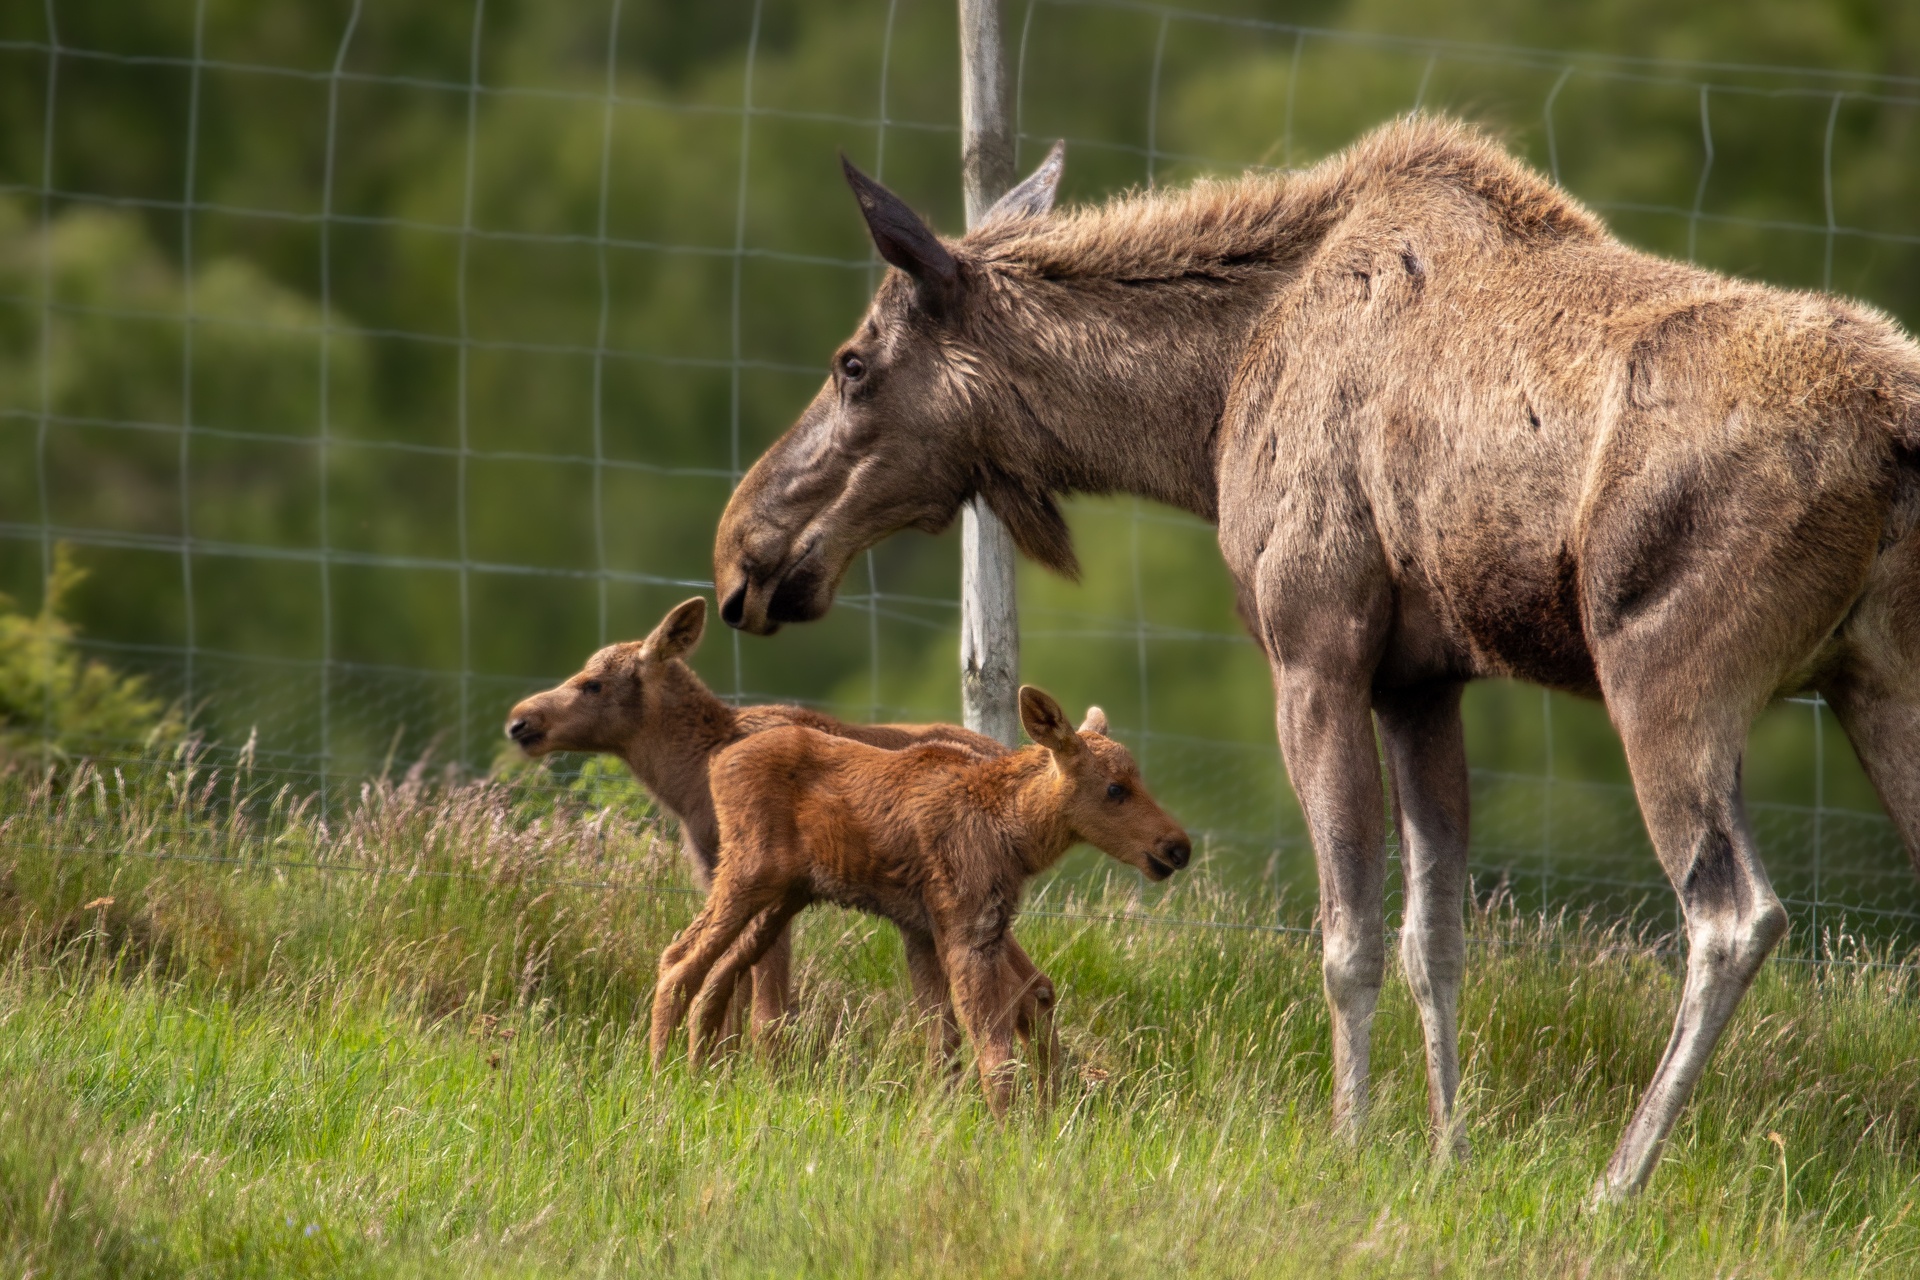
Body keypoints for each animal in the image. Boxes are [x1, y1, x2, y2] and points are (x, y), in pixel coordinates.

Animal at [648, 687, 1182, 1113]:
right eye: (1115, 788)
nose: (1177, 847)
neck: (1015, 835)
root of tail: (718, 765)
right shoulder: (966, 928)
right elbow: (992, 1052)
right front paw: (1014, 1137)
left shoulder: (927, 930)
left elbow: (944, 1043)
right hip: (748, 872)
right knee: (679, 960)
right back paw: (660, 1077)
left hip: (785, 896)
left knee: (718, 973)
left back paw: (698, 1074)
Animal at [710, 119, 1920, 1205]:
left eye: (853, 363)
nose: (742, 554)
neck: (1202, 413)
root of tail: (1895, 425)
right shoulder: (1423, 681)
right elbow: (1437, 935)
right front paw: (1448, 1152)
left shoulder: (1315, 647)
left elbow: (1348, 935)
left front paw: (1351, 1141)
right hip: (1877, 682)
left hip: (1666, 677)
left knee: (1734, 915)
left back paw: (1616, 1184)